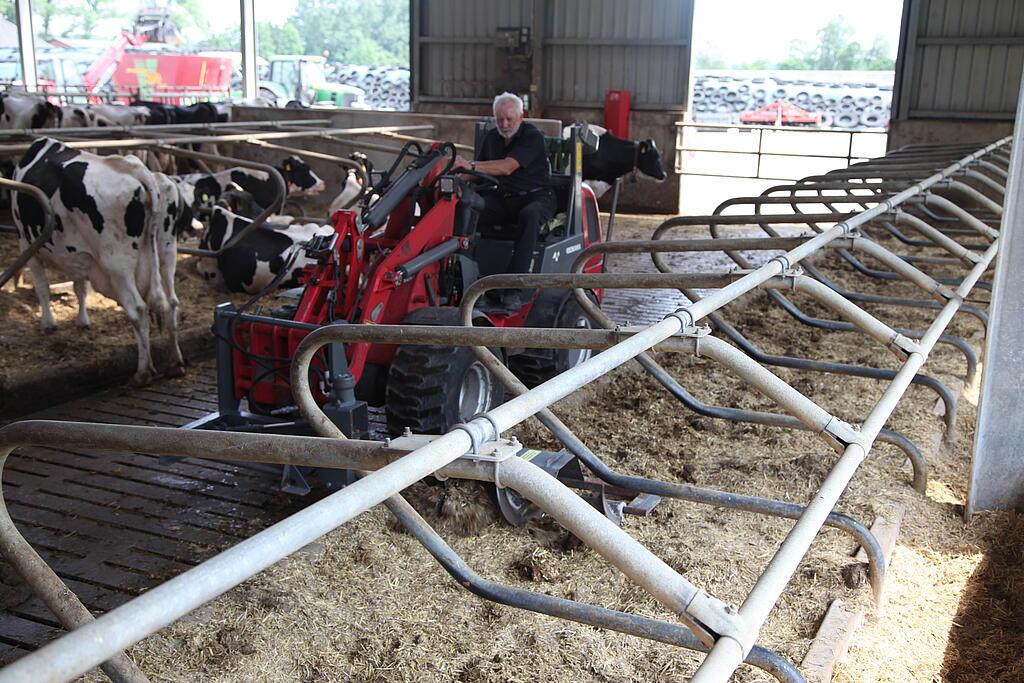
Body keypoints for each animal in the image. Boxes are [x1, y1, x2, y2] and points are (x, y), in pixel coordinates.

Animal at [13, 137, 188, 385]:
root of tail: (139, 171)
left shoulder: (26, 242)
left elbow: (42, 288)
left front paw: (48, 324)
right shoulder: (82, 255)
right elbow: (79, 286)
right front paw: (82, 320)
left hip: (117, 263)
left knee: (138, 309)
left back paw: (143, 373)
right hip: (166, 252)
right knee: (171, 303)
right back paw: (175, 364)